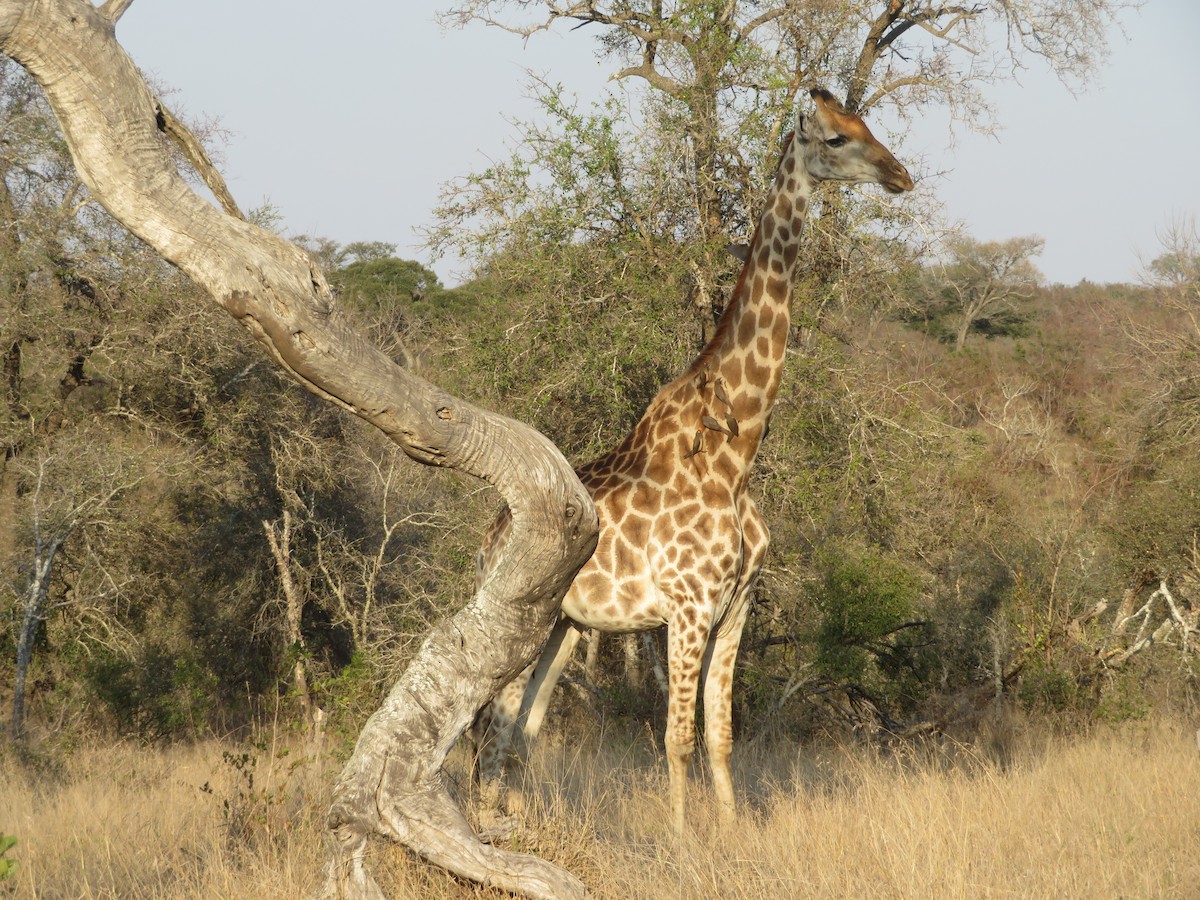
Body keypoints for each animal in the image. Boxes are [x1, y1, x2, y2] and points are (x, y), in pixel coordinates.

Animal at [472, 88, 912, 835]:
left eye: (867, 125)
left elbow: (719, 735)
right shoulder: (685, 608)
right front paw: (680, 842)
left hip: (565, 625)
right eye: (834, 138)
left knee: (520, 727)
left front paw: (730, 836)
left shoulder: (736, 608)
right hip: (522, 617)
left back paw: (506, 823)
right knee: (492, 726)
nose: (900, 175)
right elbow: (676, 738)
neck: (737, 457)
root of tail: (491, 535)